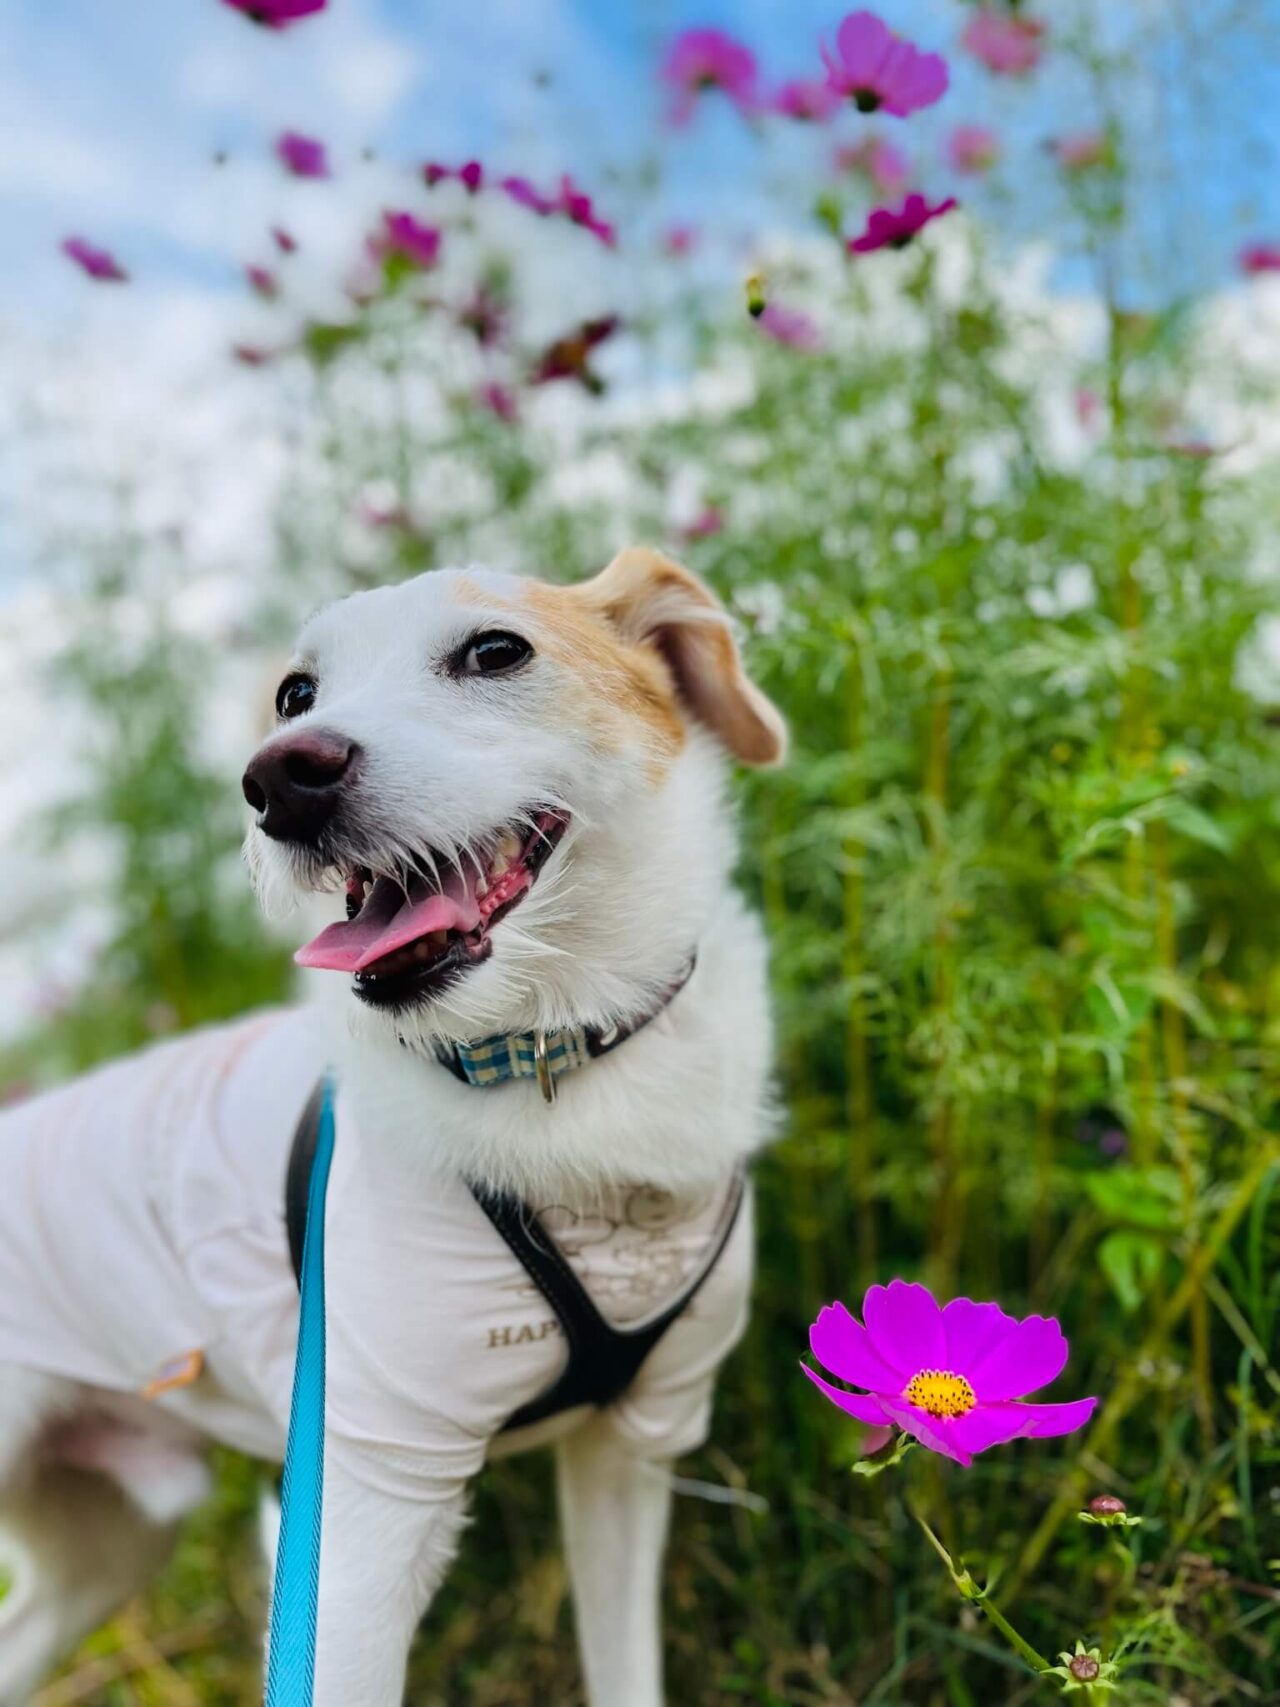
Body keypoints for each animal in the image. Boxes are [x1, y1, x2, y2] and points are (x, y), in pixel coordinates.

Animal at [0, 549, 781, 1707]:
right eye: (295, 693)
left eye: (496, 650)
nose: (278, 778)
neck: (544, 1058)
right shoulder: (367, 1507)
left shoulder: (633, 1445)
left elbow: (623, 1666)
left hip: (103, 1550)